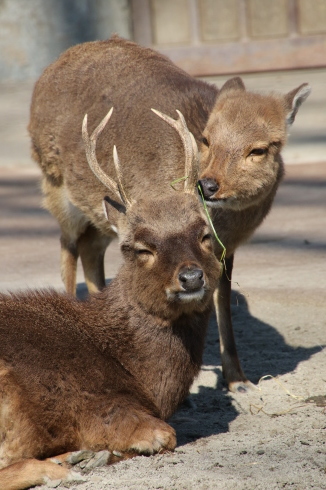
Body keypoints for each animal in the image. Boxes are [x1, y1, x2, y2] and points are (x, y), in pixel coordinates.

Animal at [0, 109, 222, 490]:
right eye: (141, 247)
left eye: (204, 234)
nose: (191, 277)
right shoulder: (99, 406)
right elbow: (165, 435)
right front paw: (98, 453)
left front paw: (89, 454)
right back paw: (66, 467)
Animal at [28, 36, 310, 392]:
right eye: (206, 138)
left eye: (259, 149)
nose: (207, 185)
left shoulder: (224, 246)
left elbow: (222, 301)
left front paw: (237, 379)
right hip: (55, 186)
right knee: (68, 248)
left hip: (101, 213)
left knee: (90, 250)